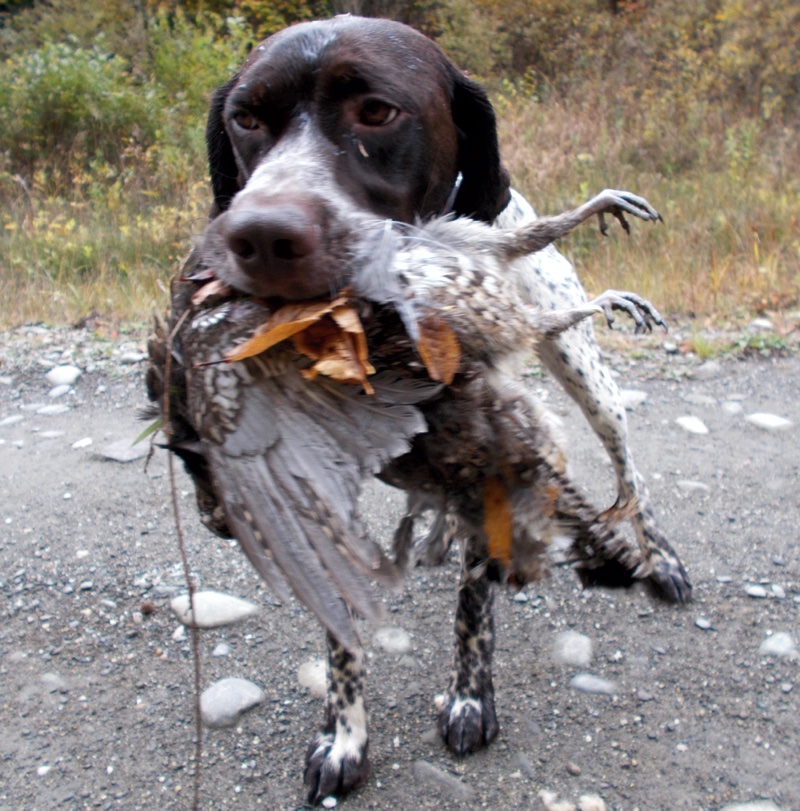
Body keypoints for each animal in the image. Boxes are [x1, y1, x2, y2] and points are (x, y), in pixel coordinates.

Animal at [153, 15, 692, 804]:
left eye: (378, 111)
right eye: (245, 119)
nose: (258, 235)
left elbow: (473, 603)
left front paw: (470, 698)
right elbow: (342, 622)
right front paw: (343, 734)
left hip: (579, 373)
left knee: (623, 457)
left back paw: (659, 548)